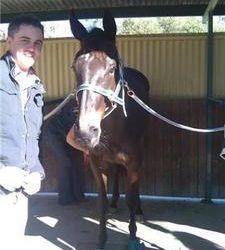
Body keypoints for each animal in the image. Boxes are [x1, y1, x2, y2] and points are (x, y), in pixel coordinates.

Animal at [68, 10, 149, 250]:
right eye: (75, 67)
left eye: (112, 68)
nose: (85, 132)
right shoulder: (97, 162)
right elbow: (101, 202)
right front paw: (102, 240)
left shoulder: (133, 160)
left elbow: (130, 196)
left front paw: (132, 236)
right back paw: (114, 203)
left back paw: (139, 210)